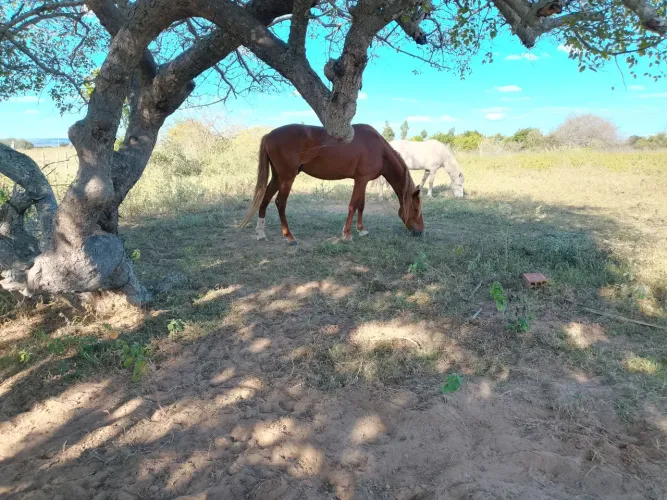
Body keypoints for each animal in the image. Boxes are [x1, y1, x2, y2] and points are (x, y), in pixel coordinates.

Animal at [240, 124, 424, 245]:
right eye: (415, 209)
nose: (420, 232)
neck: (379, 149)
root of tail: (269, 135)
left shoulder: (363, 181)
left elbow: (361, 205)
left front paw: (361, 230)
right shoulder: (361, 180)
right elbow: (353, 205)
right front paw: (347, 235)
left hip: (277, 177)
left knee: (265, 199)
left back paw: (260, 233)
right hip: (287, 178)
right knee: (280, 203)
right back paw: (289, 237)